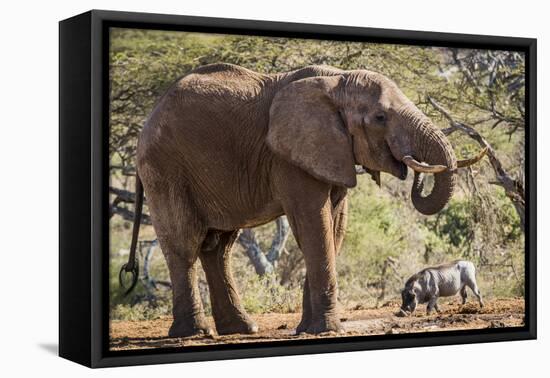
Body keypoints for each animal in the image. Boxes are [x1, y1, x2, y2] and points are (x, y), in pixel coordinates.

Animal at [122, 62, 488, 336]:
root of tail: (148, 119)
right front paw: (328, 330)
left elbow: (334, 227)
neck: (336, 80)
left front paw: (307, 329)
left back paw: (243, 329)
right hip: (165, 167)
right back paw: (196, 333)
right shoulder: (288, 157)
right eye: (380, 117)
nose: (412, 167)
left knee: (218, 247)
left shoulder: (332, 151)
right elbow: (314, 222)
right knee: (185, 244)